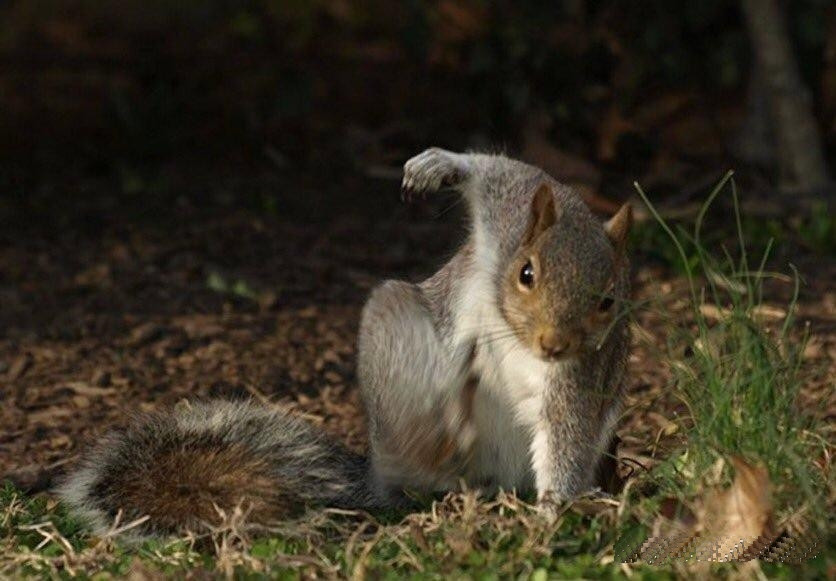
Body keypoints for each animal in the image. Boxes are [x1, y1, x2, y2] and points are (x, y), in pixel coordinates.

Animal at [58, 147, 632, 536]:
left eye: (609, 300)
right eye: (526, 273)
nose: (554, 344)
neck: (514, 331)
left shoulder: (580, 376)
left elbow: (567, 436)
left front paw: (554, 513)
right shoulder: (509, 212)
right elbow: (499, 172)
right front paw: (439, 166)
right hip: (392, 331)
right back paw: (439, 436)